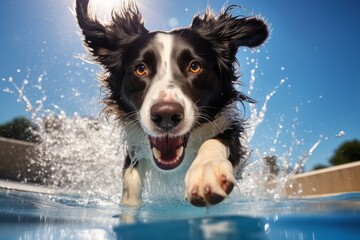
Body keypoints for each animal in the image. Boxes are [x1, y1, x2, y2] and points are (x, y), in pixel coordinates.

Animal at [75, 0, 268, 206]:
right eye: (140, 69)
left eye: (195, 66)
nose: (166, 115)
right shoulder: (136, 147)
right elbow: (130, 178)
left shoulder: (227, 124)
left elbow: (216, 141)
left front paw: (206, 170)